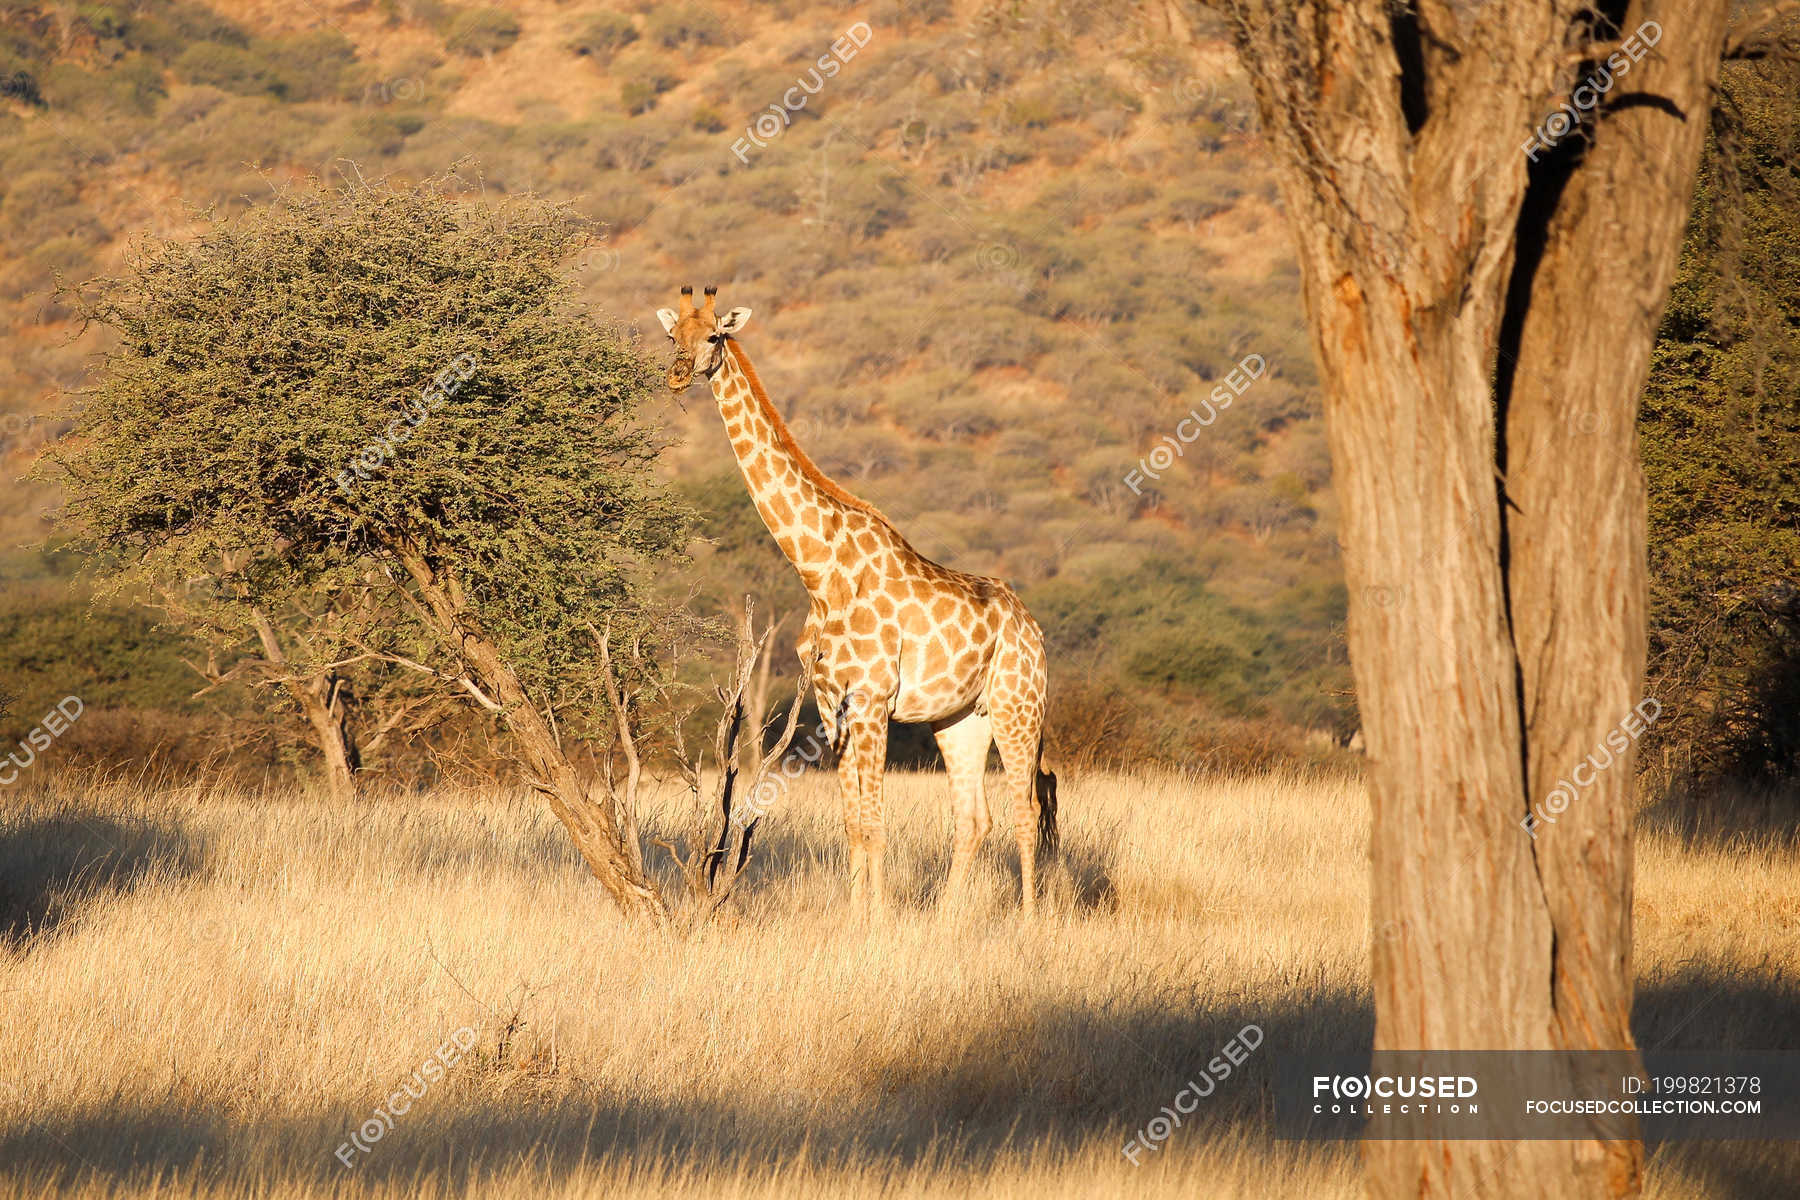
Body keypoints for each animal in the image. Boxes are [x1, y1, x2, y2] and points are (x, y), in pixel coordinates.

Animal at [658, 286, 1051, 913]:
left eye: (715, 336)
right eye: (673, 336)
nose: (675, 373)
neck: (819, 571)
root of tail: (1033, 626)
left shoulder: (871, 700)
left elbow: (874, 824)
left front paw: (877, 922)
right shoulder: (830, 705)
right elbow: (852, 824)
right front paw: (853, 918)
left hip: (1020, 705)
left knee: (1027, 811)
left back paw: (1034, 920)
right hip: (962, 718)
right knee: (974, 819)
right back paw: (945, 923)